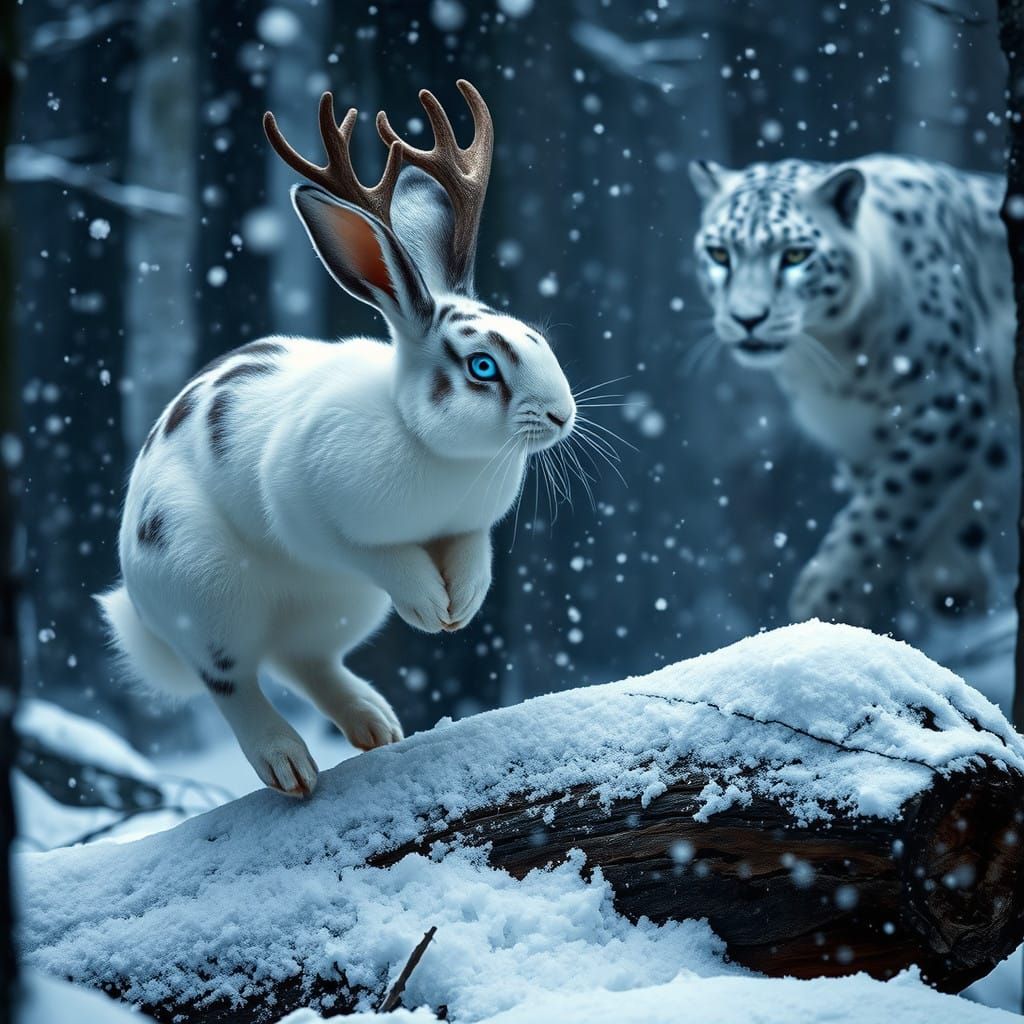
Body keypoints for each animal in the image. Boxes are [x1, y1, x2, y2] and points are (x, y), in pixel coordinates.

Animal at [97, 81, 577, 798]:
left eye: (537, 338)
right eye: (482, 367)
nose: (562, 416)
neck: (429, 445)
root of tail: (143, 608)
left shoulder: (470, 528)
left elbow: (473, 554)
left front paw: (460, 606)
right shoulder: (311, 517)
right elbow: (380, 556)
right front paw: (430, 607)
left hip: (339, 611)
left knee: (305, 660)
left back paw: (378, 726)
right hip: (205, 592)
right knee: (234, 681)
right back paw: (289, 766)